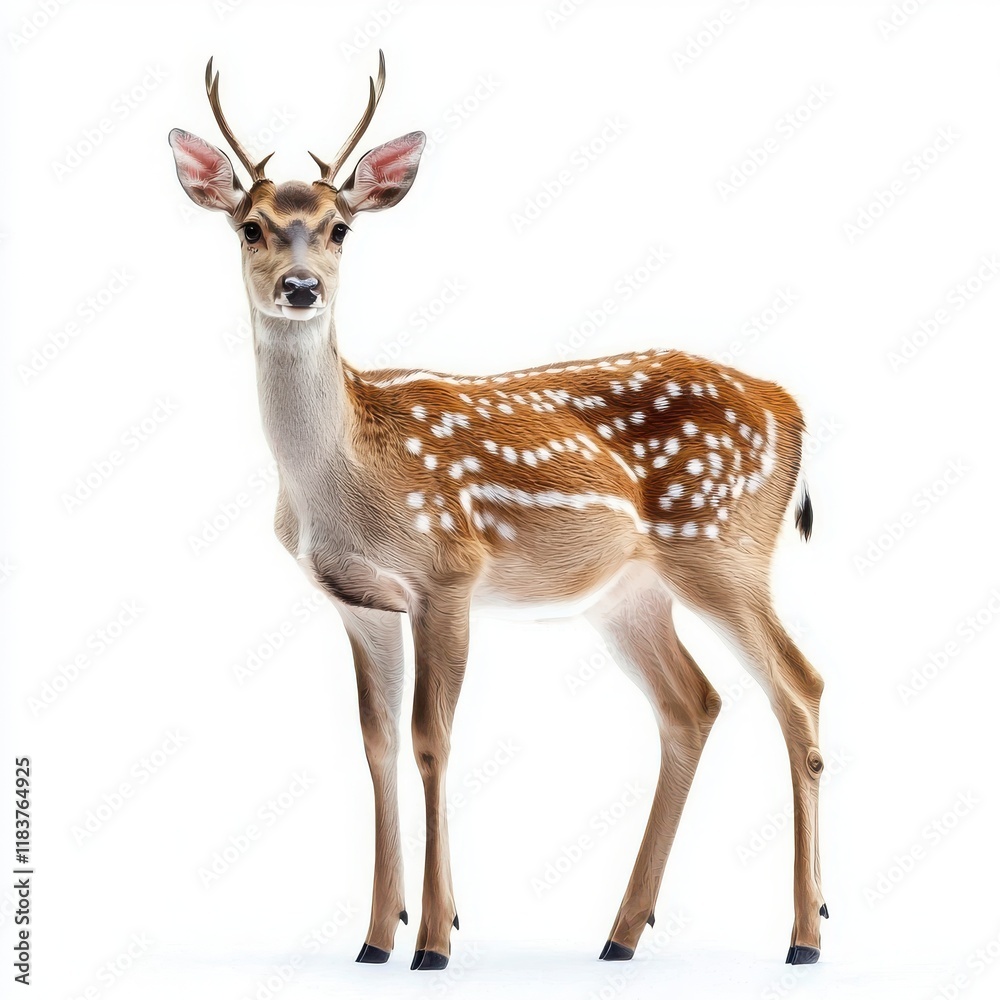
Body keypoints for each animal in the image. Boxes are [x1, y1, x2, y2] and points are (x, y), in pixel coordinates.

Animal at [169, 52, 827, 971]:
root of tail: (792, 407)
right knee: (693, 704)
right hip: (631, 594)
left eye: (340, 229)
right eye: (251, 228)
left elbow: (431, 740)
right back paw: (620, 934)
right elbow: (375, 745)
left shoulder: (448, 573)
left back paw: (805, 937)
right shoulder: (357, 600)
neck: (343, 478)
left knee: (800, 686)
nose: (300, 289)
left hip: (723, 548)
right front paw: (374, 938)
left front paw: (436, 940)